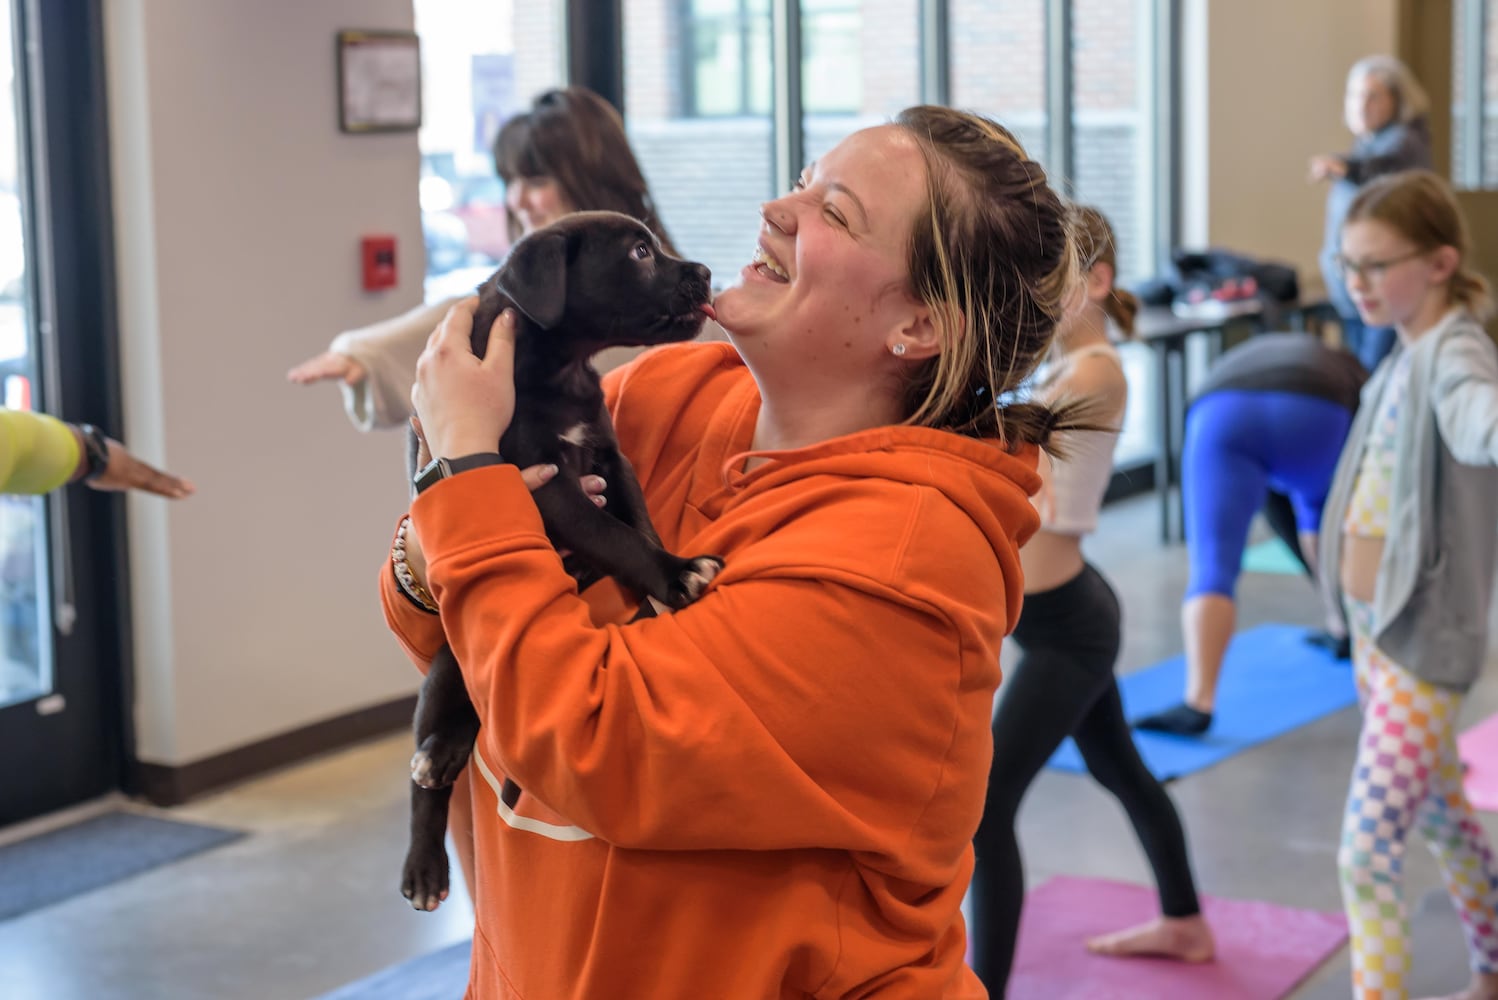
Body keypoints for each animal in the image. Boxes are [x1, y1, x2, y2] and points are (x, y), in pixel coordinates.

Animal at [398, 212, 725, 916]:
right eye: (639, 252)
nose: (707, 272)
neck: (563, 367)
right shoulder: (545, 484)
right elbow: (615, 535)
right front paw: (677, 574)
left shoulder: (611, 459)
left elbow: (637, 524)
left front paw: (668, 574)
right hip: (441, 673)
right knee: (432, 767)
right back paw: (426, 849)